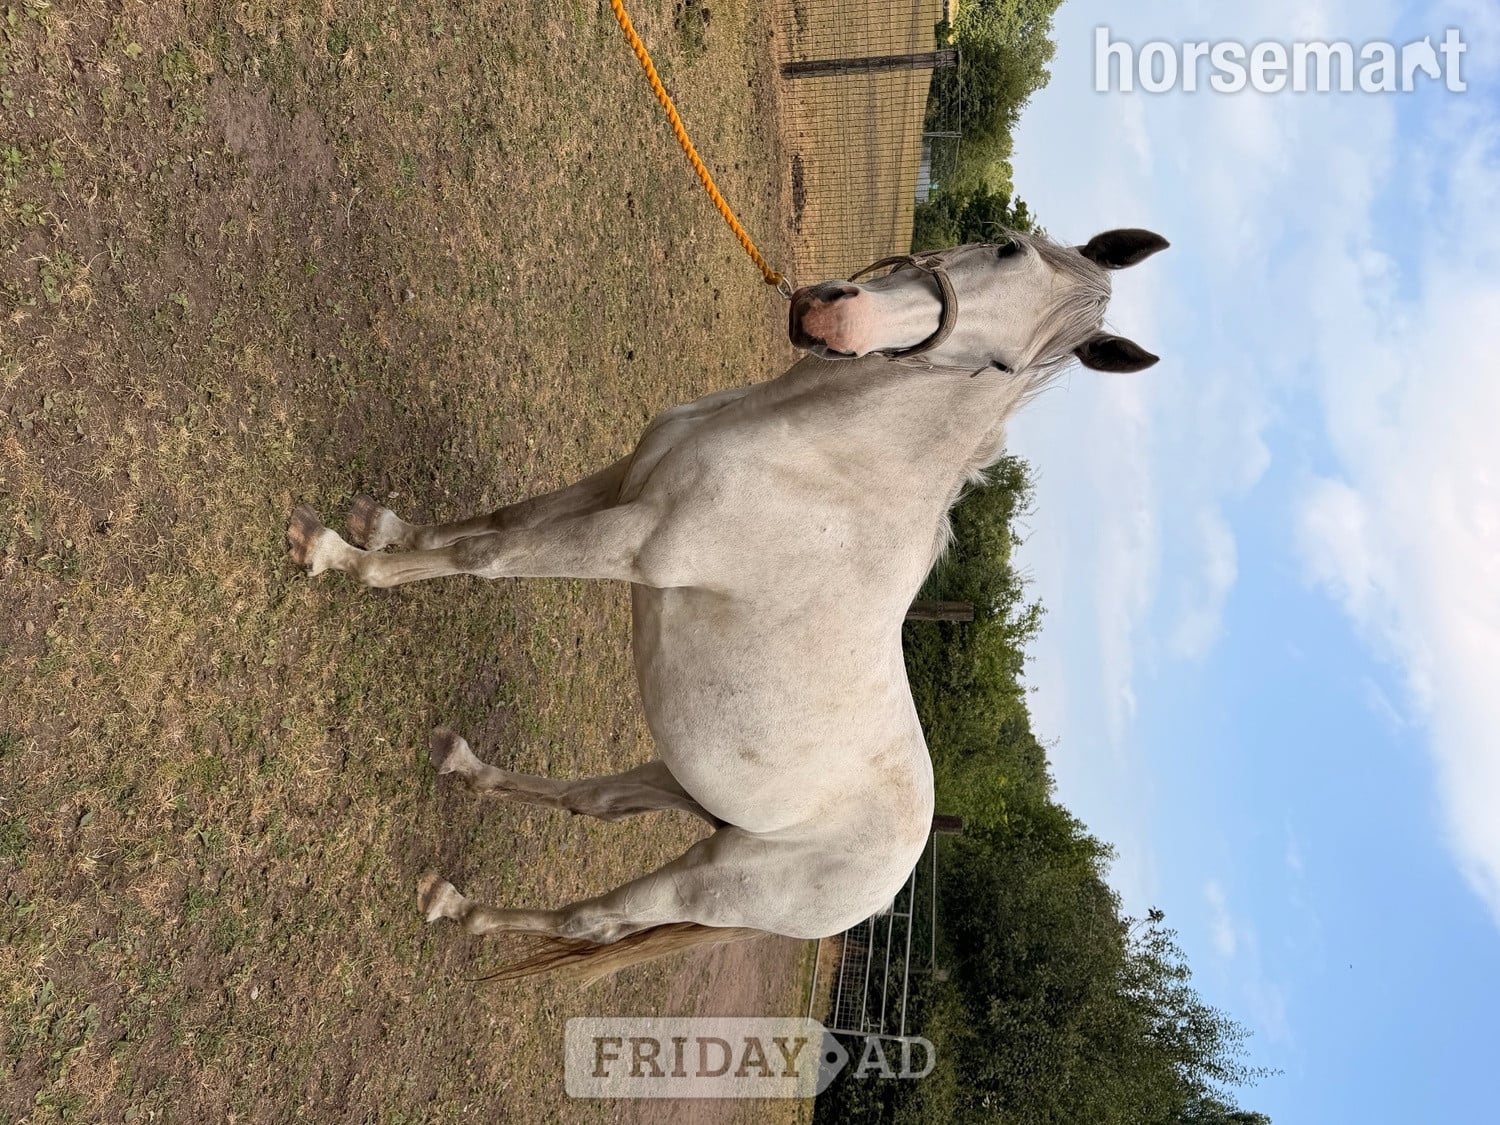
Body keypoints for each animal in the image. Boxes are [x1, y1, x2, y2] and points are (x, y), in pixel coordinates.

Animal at [286, 227, 1169, 981]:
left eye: (999, 365)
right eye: (1004, 244)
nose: (832, 313)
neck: (824, 462)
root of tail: (889, 885)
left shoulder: (632, 541)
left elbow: (487, 557)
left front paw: (335, 555)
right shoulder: (619, 482)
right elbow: (502, 520)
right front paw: (381, 529)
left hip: (708, 881)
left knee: (596, 920)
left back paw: (459, 907)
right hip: (685, 783)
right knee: (595, 802)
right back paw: (461, 766)